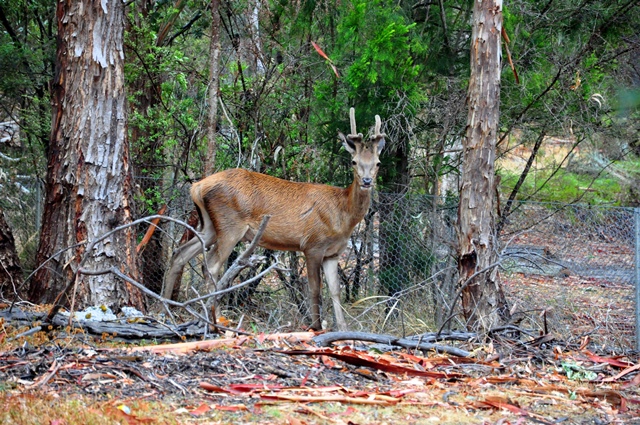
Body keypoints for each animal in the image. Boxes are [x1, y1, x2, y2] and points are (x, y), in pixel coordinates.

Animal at [162, 108, 385, 331]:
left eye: (377, 163)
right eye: (354, 161)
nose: (367, 181)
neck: (342, 215)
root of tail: (197, 187)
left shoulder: (333, 253)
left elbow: (335, 291)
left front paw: (344, 330)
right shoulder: (313, 245)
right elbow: (315, 290)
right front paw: (315, 328)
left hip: (209, 226)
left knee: (179, 254)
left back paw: (165, 310)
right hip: (230, 226)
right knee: (212, 265)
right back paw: (211, 320)